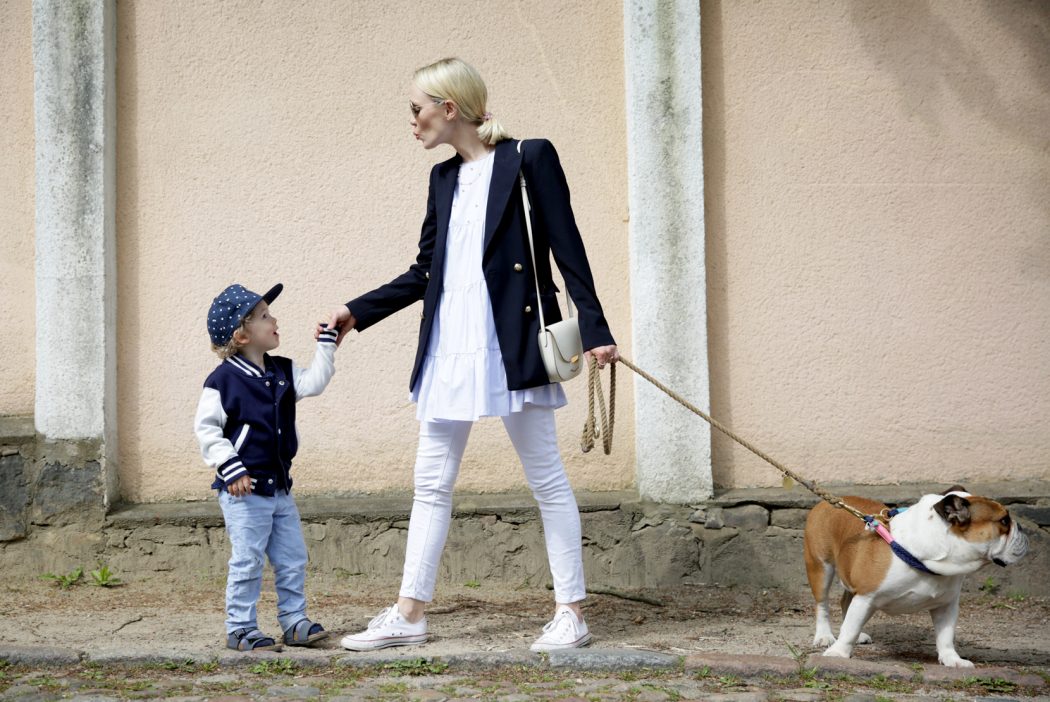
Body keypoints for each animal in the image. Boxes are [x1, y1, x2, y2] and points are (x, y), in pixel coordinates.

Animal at [803, 486, 1028, 667]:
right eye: (1004, 521)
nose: (1022, 528)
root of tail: (827, 502)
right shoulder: (866, 596)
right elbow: (850, 628)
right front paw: (838, 653)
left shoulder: (946, 605)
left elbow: (946, 636)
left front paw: (952, 659)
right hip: (820, 568)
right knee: (822, 604)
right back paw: (824, 636)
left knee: (846, 601)